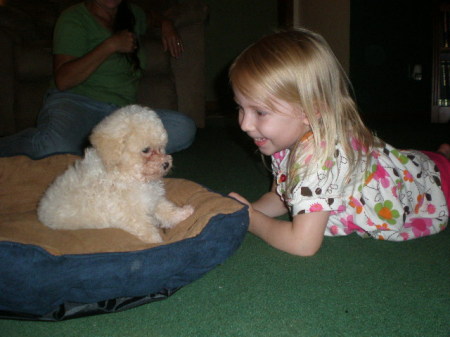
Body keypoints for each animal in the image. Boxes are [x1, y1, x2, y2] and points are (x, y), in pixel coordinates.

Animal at [37, 104, 193, 242]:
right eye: (146, 150)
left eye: (161, 148)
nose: (166, 164)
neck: (127, 174)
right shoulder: (129, 215)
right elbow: (146, 229)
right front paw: (157, 242)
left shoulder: (151, 198)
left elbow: (165, 208)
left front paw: (183, 213)